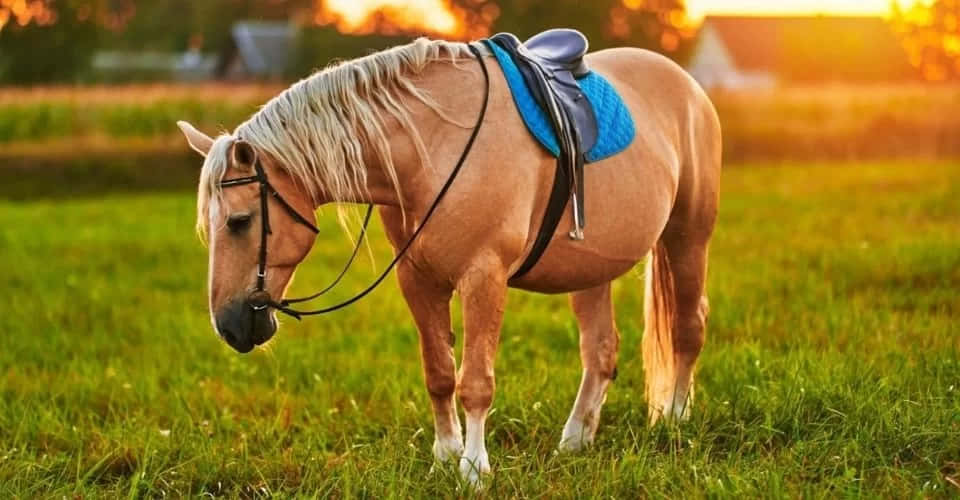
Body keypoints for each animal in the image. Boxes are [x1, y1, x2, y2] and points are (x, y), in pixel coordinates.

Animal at [177, 36, 720, 485]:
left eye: (240, 221)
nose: (229, 326)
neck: (430, 146)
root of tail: (688, 86)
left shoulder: (484, 276)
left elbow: (475, 382)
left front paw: (474, 469)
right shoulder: (418, 280)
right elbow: (438, 373)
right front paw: (445, 455)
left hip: (688, 236)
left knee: (688, 328)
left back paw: (674, 420)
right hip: (591, 269)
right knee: (601, 351)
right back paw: (575, 440)